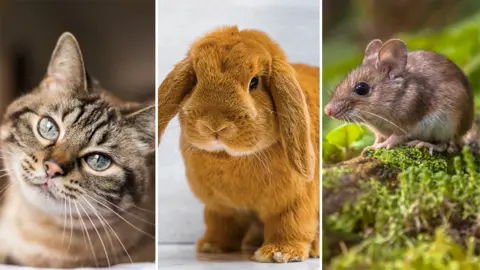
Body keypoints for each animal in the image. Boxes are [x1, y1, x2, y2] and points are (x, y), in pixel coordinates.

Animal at [158, 26, 318, 262]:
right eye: (195, 80)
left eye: (254, 82)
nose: (215, 125)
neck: (229, 157)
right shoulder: (221, 207)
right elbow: (221, 225)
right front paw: (212, 246)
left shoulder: (295, 201)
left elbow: (290, 223)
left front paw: (279, 253)